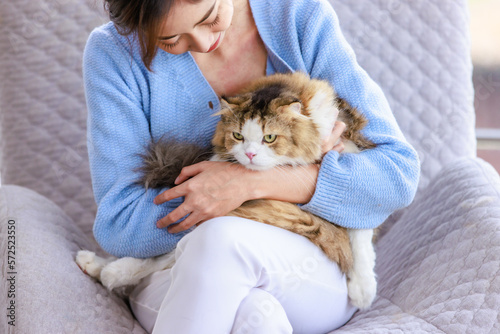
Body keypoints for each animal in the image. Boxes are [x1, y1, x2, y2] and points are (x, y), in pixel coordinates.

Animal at [75, 72, 378, 310]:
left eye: (270, 137)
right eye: (238, 136)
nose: (251, 154)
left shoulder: (352, 165)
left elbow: (360, 235)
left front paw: (363, 291)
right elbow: (164, 254)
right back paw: (99, 266)